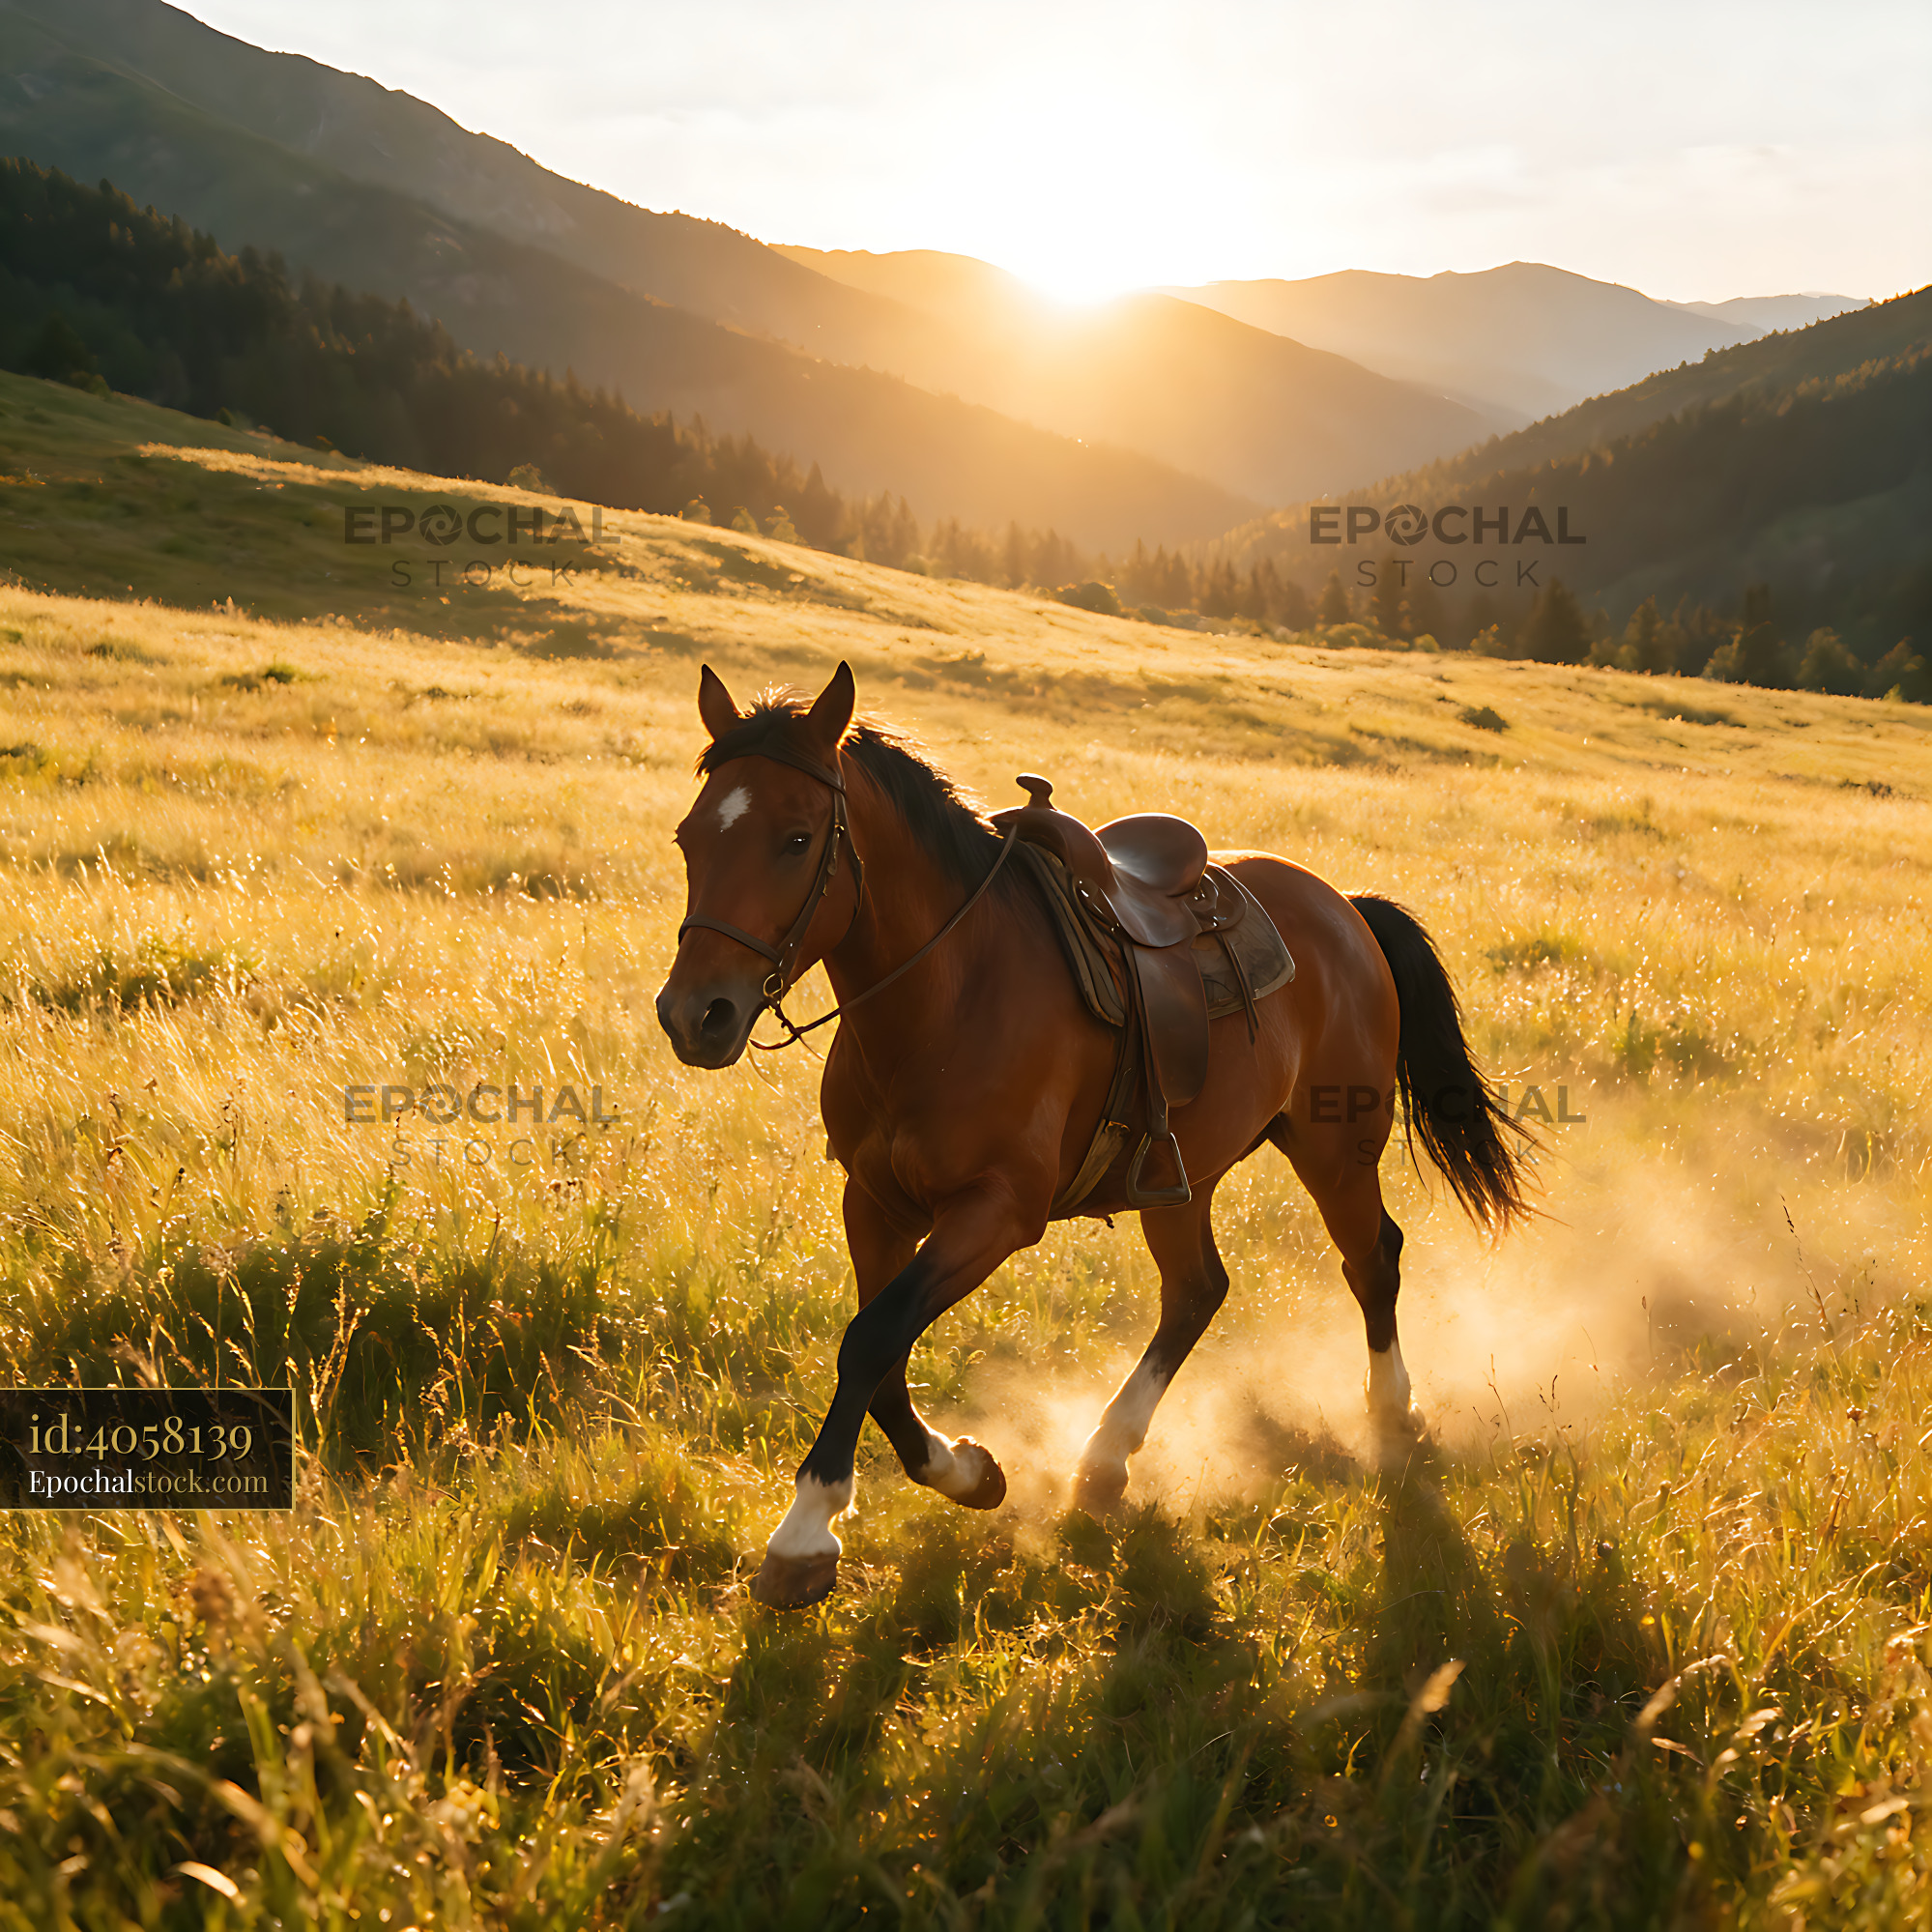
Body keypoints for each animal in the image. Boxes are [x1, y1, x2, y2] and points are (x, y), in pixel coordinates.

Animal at [656, 662, 1532, 1608]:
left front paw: (807, 1530)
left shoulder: (998, 1212)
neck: (949, 995)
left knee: (1371, 1259)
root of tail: (1347, 908)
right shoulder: (874, 1200)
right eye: (688, 837)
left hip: (1336, 1151)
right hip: (1181, 1174)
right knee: (1196, 1290)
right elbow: (879, 1353)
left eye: (795, 837)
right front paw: (967, 1470)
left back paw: (1392, 1415)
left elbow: (872, 1337)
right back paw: (1107, 1458)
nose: (694, 1014)